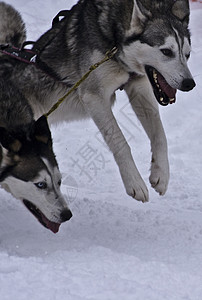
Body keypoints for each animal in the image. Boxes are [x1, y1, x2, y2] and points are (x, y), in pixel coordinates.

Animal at [0, 0, 196, 205]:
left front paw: (161, 175)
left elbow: (160, 136)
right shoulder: (94, 96)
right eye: (166, 51)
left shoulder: (138, 86)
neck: (114, 41)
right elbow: (119, 141)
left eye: (188, 54)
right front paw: (134, 182)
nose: (189, 83)